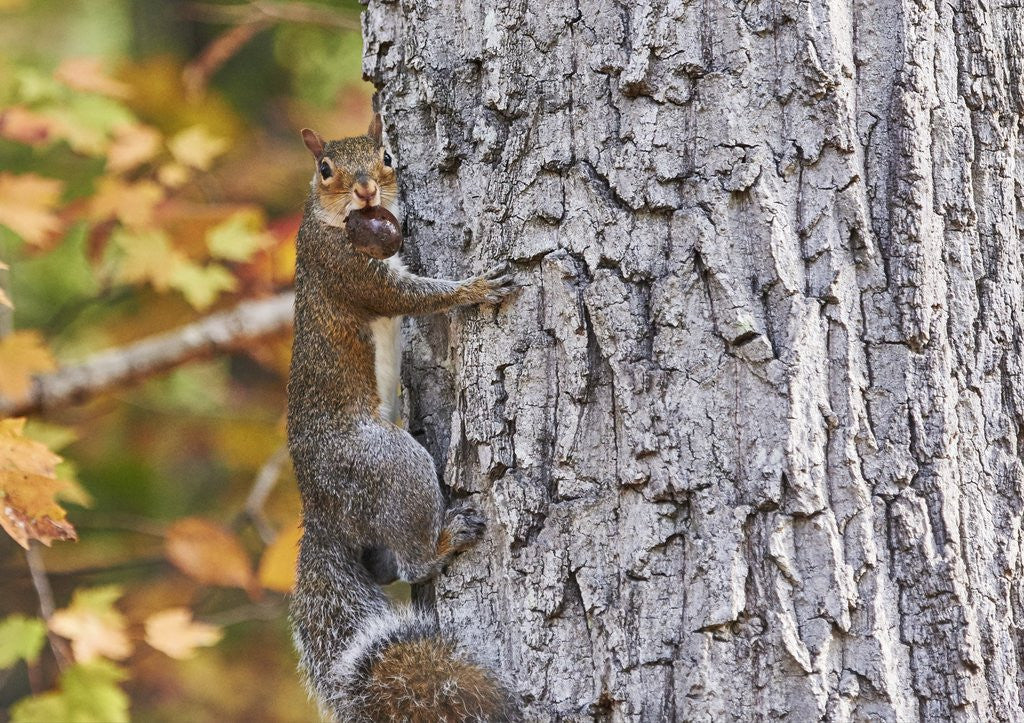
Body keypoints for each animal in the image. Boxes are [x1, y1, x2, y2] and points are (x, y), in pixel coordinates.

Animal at [286, 114, 517, 722]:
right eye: (325, 169)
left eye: (386, 156)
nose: (367, 190)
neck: (333, 222)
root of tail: (322, 512)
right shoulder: (348, 270)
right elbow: (411, 296)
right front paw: (476, 288)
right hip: (387, 465)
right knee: (413, 565)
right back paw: (445, 540)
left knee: (388, 567)